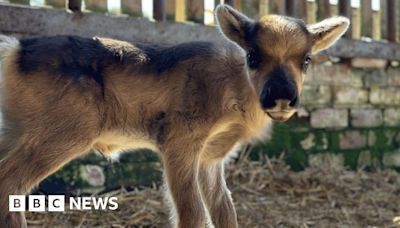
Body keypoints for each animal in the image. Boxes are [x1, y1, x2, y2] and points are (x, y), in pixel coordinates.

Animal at [0, 5, 348, 228]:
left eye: (306, 59)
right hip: (61, 135)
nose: (281, 98)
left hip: (14, 133)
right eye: (252, 55)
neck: (233, 95)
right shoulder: (179, 143)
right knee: (10, 183)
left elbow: (225, 212)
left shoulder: (211, 158)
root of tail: (13, 50)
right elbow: (193, 215)